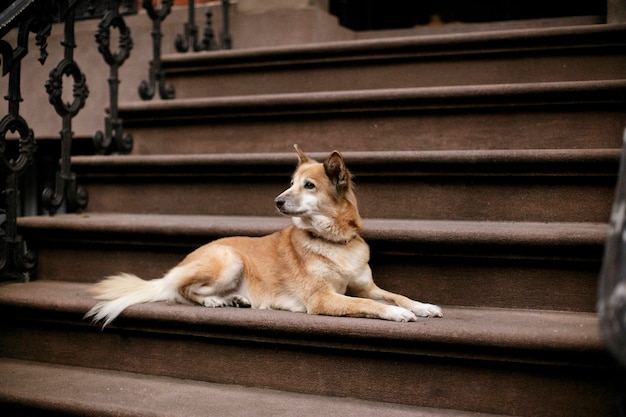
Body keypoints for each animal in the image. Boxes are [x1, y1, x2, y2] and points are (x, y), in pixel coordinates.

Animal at [85, 145, 442, 326]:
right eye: (290, 183)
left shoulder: (367, 286)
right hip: (227, 260)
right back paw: (215, 300)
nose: (277, 201)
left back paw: (235, 299)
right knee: (182, 291)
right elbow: (366, 305)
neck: (333, 241)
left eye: (308, 186)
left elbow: (394, 295)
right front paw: (397, 314)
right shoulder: (322, 299)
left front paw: (421, 305)